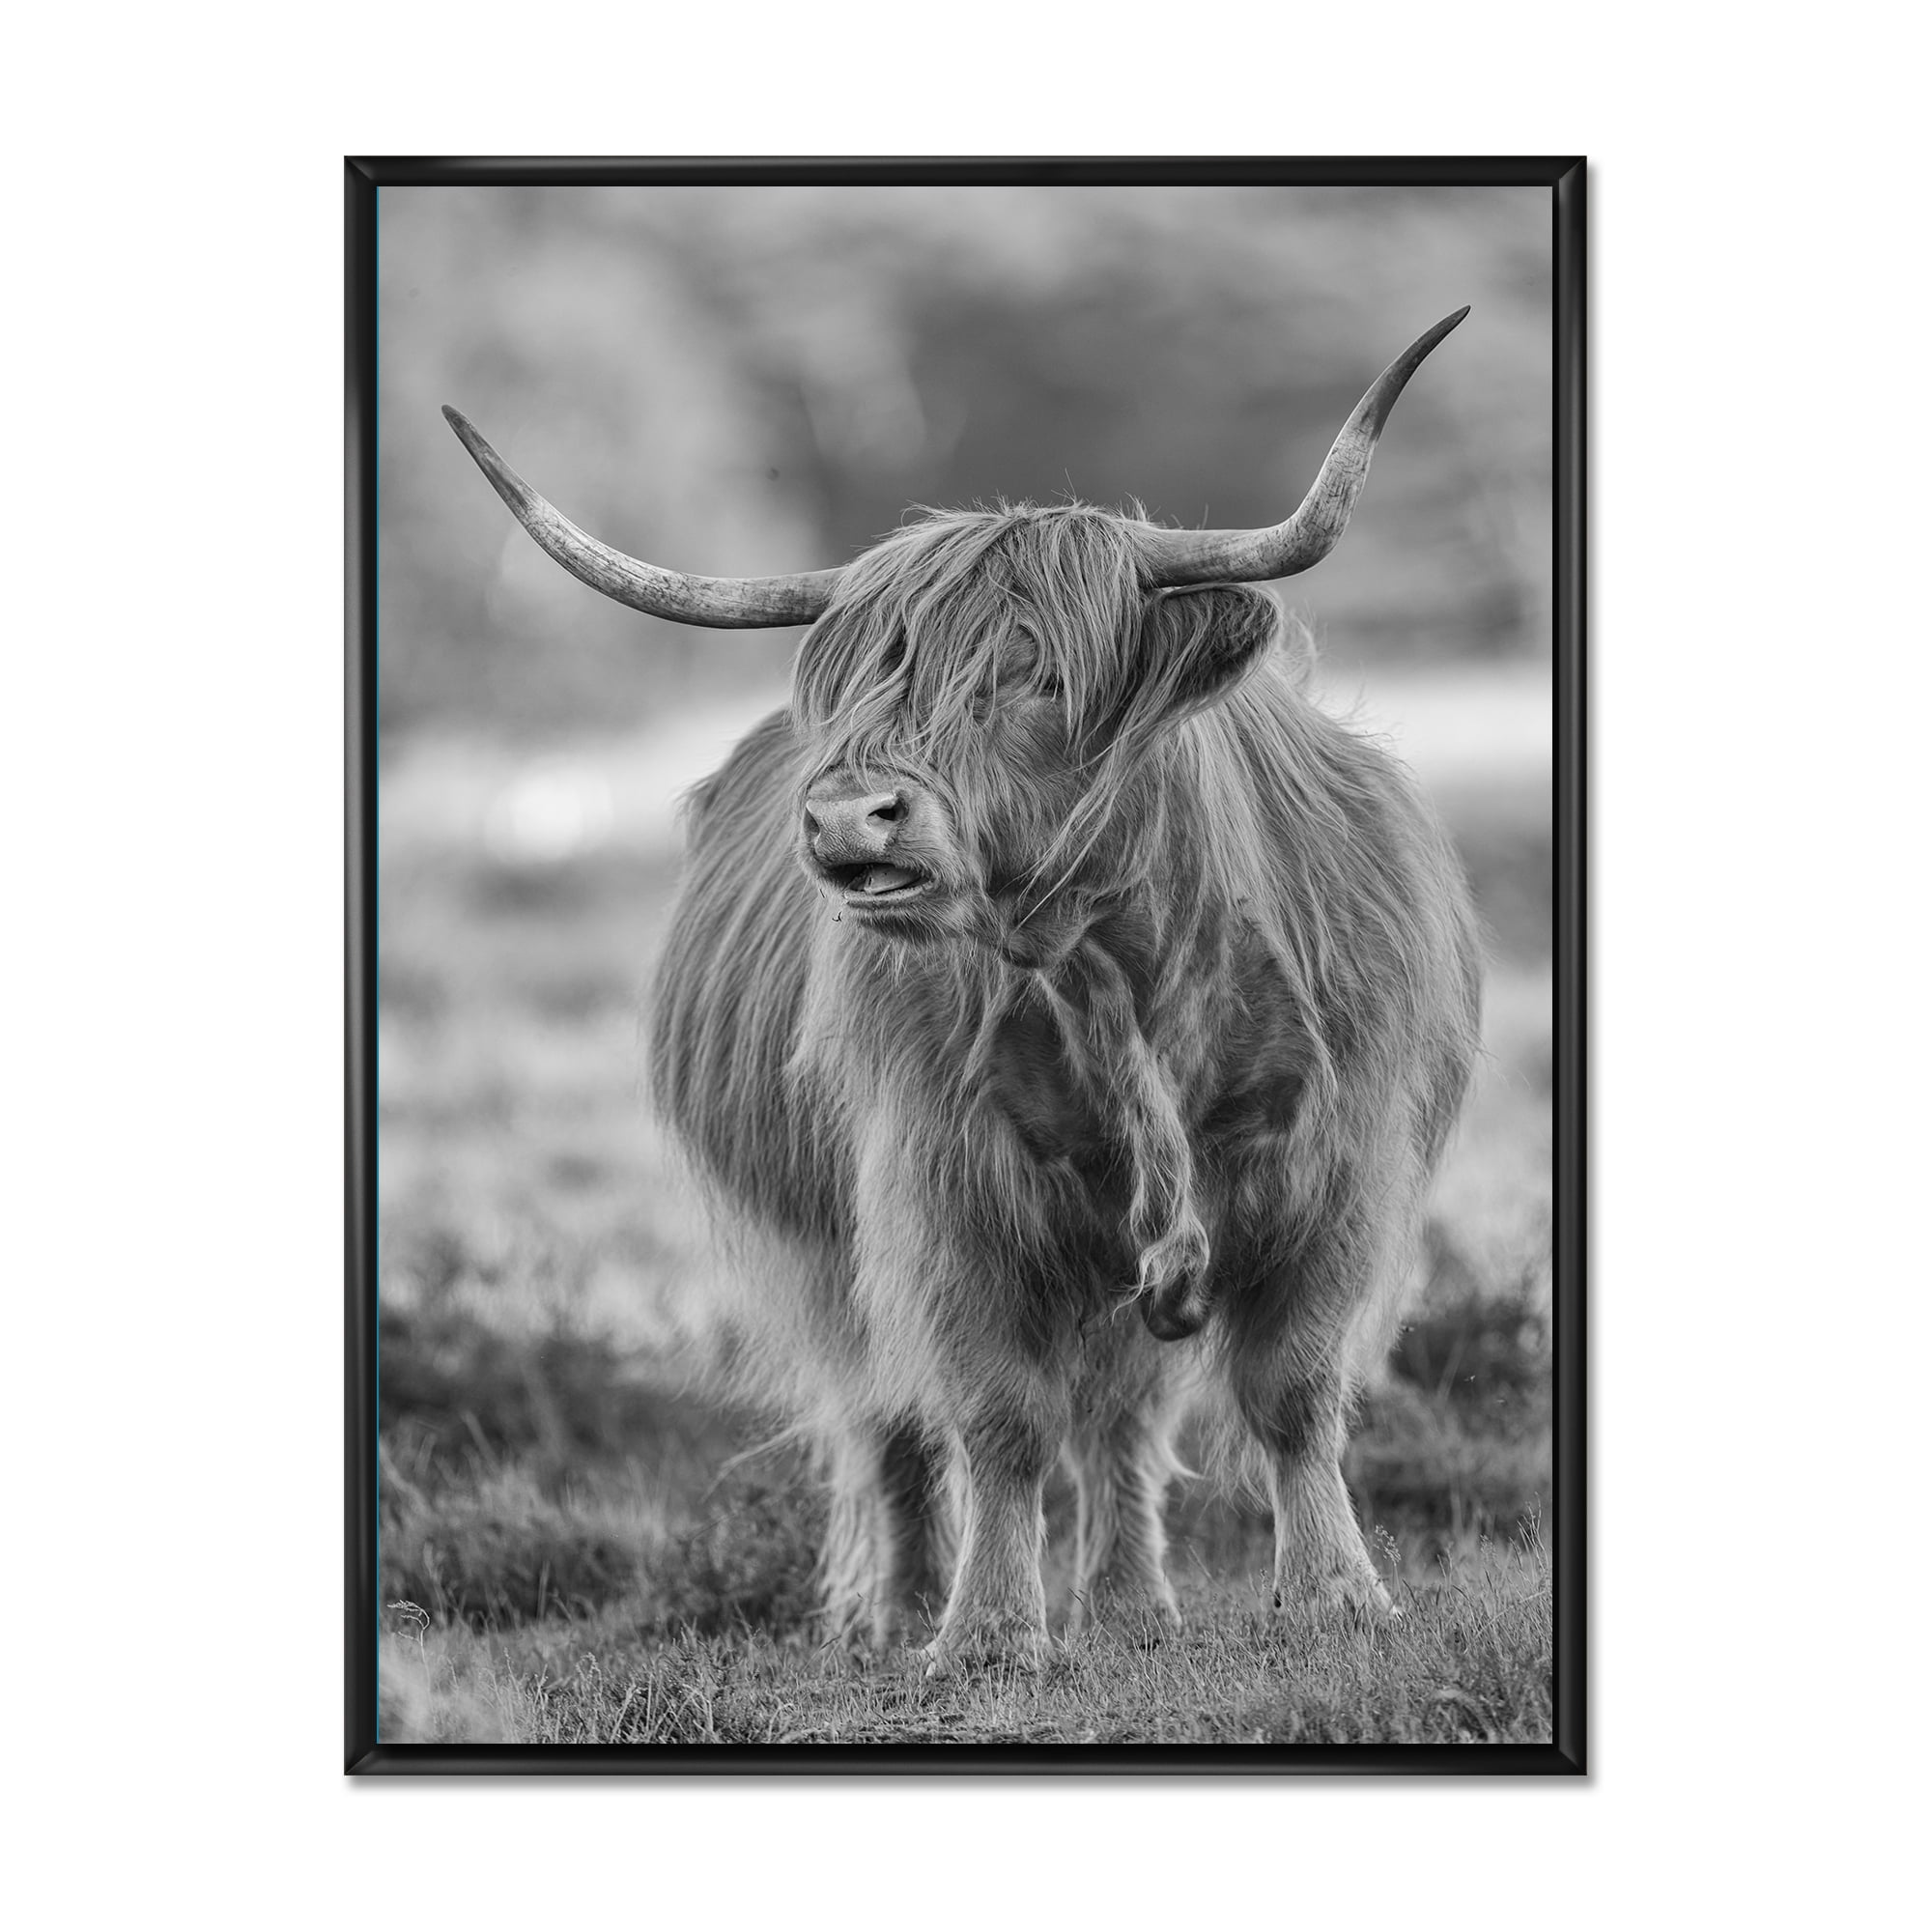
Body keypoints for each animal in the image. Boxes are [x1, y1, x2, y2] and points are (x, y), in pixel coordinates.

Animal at [443, 309, 1483, 1671]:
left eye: (1034, 669)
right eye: (863, 681)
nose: (846, 815)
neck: (1118, 969)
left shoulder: (1336, 1164)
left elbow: (1291, 1390)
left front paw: (1332, 1596)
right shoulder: (943, 1187)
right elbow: (994, 1416)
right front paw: (986, 1630)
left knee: (1122, 1416)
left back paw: (1131, 1603)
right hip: (833, 1251)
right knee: (891, 1415)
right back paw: (896, 1613)